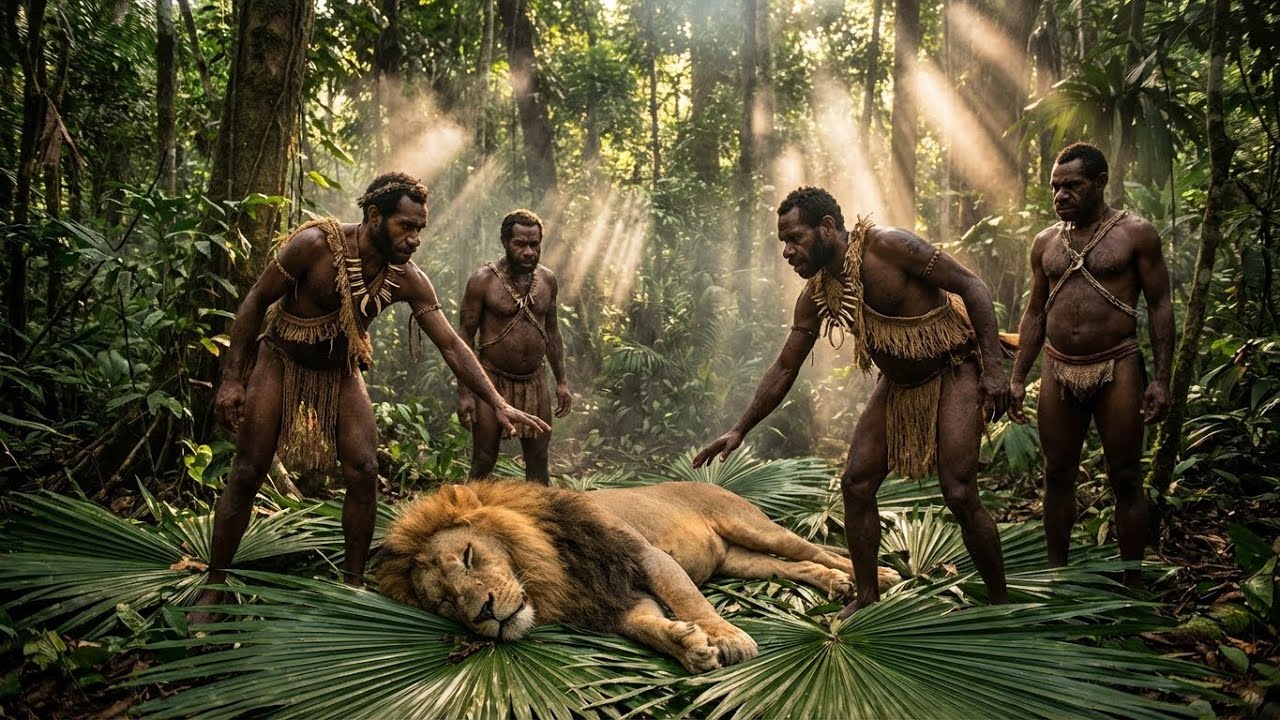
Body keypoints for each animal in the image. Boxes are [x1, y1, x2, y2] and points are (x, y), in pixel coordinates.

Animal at [377, 480, 899, 674]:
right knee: (800, 566)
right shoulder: (615, 599)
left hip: (753, 526)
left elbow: (691, 601)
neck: (552, 570)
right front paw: (689, 648)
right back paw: (838, 585)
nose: (484, 612)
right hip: (740, 561)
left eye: (468, 556)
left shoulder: (645, 557)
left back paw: (878, 577)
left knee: (812, 548)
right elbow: (647, 625)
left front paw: (729, 638)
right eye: (446, 603)